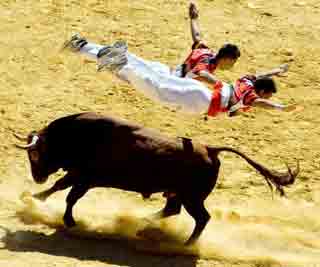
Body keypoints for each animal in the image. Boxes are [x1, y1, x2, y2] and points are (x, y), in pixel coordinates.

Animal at [14, 112, 300, 245]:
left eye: (35, 155)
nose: (37, 177)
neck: (78, 136)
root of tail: (210, 149)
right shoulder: (80, 176)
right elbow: (61, 188)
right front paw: (33, 197)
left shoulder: (85, 177)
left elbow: (69, 196)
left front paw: (64, 218)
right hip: (179, 194)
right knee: (172, 210)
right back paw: (141, 224)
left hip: (192, 198)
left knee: (201, 218)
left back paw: (185, 244)